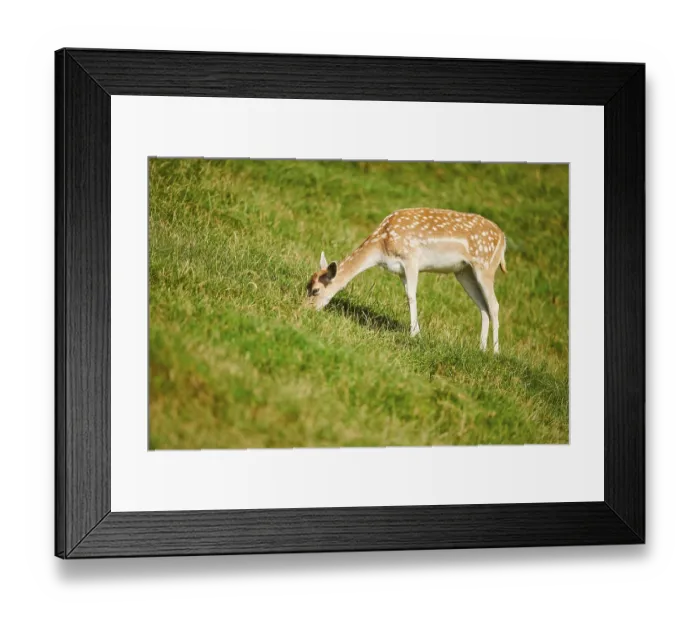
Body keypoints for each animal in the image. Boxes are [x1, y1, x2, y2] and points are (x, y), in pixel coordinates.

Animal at [305, 208, 507, 353]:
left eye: (315, 290)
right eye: (307, 286)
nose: (305, 310)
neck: (381, 246)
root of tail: (503, 240)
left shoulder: (411, 258)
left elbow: (411, 296)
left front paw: (414, 334)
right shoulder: (400, 271)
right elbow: (407, 295)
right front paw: (415, 331)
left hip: (485, 266)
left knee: (495, 305)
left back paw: (495, 352)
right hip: (464, 271)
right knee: (483, 306)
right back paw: (481, 349)